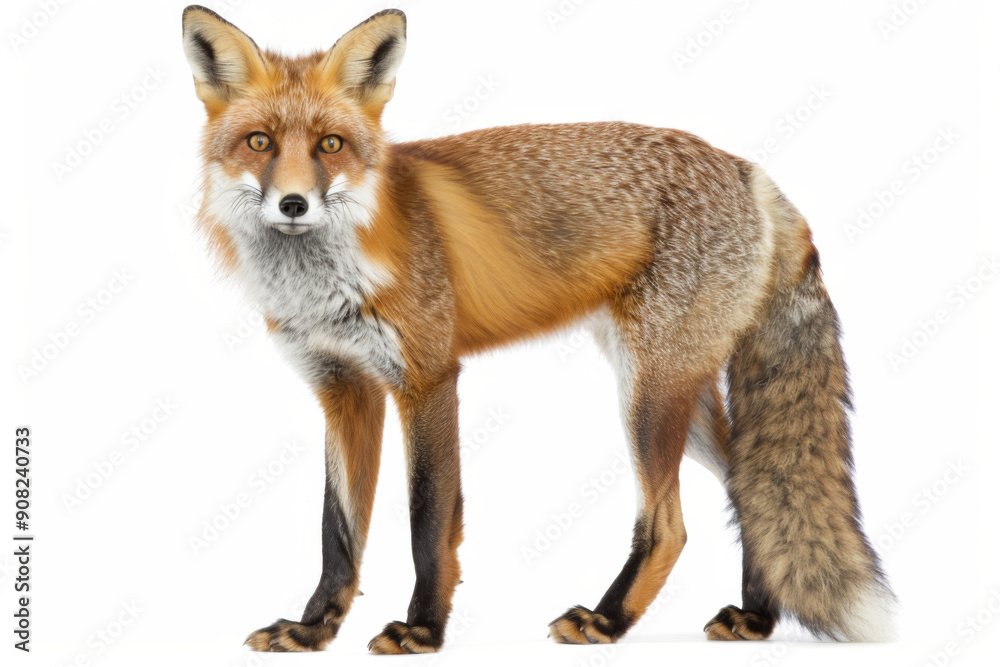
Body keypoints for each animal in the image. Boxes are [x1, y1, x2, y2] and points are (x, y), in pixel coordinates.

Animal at [181, 5, 897, 654]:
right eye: (259, 142)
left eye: (330, 145)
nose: (293, 204)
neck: (329, 277)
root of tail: (751, 172)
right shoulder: (344, 389)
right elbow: (337, 530)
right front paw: (313, 629)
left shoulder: (427, 378)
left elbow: (428, 519)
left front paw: (422, 631)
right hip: (678, 393)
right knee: (752, 494)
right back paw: (757, 619)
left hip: (648, 394)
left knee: (671, 525)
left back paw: (608, 621)